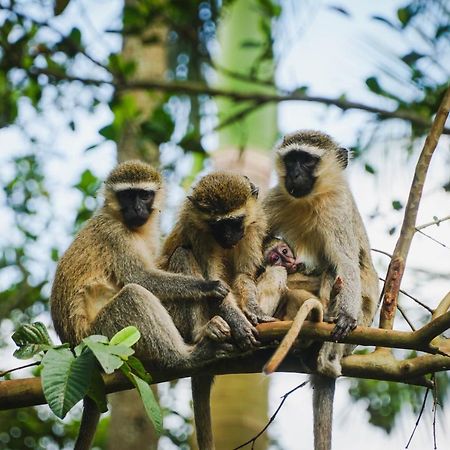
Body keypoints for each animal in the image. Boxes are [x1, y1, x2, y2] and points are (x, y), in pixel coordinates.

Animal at [51, 162, 234, 450]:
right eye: (128, 196)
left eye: (144, 195)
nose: (137, 208)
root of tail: (74, 345)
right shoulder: (114, 235)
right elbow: (139, 278)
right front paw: (208, 286)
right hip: (102, 337)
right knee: (134, 295)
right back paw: (186, 356)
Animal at [161, 171, 274, 448]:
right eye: (219, 224)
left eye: (235, 221)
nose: (229, 237)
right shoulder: (197, 230)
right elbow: (214, 284)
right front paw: (239, 323)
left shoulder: (253, 225)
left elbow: (244, 275)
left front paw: (253, 310)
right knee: (182, 254)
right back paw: (205, 331)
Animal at [262, 131, 382, 450]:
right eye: (291, 159)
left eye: (307, 161)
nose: (294, 173)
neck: (309, 200)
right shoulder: (276, 197)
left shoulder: (336, 209)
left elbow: (347, 263)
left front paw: (346, 316)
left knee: (336, 271)